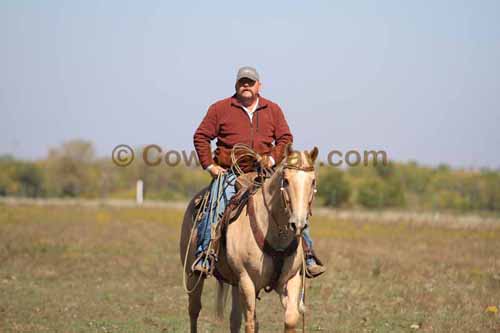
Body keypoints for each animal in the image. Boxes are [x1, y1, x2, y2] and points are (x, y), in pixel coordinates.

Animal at [180, 145, 318, 332]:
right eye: (286, 180)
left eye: (313, 181)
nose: (298, 224)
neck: (274, 233)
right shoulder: (247, 281)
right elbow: (251, 323)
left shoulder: (290, 279)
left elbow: (291, 318)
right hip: (193, 273)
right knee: (194, 309)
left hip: (235, 283)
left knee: (234, 319)